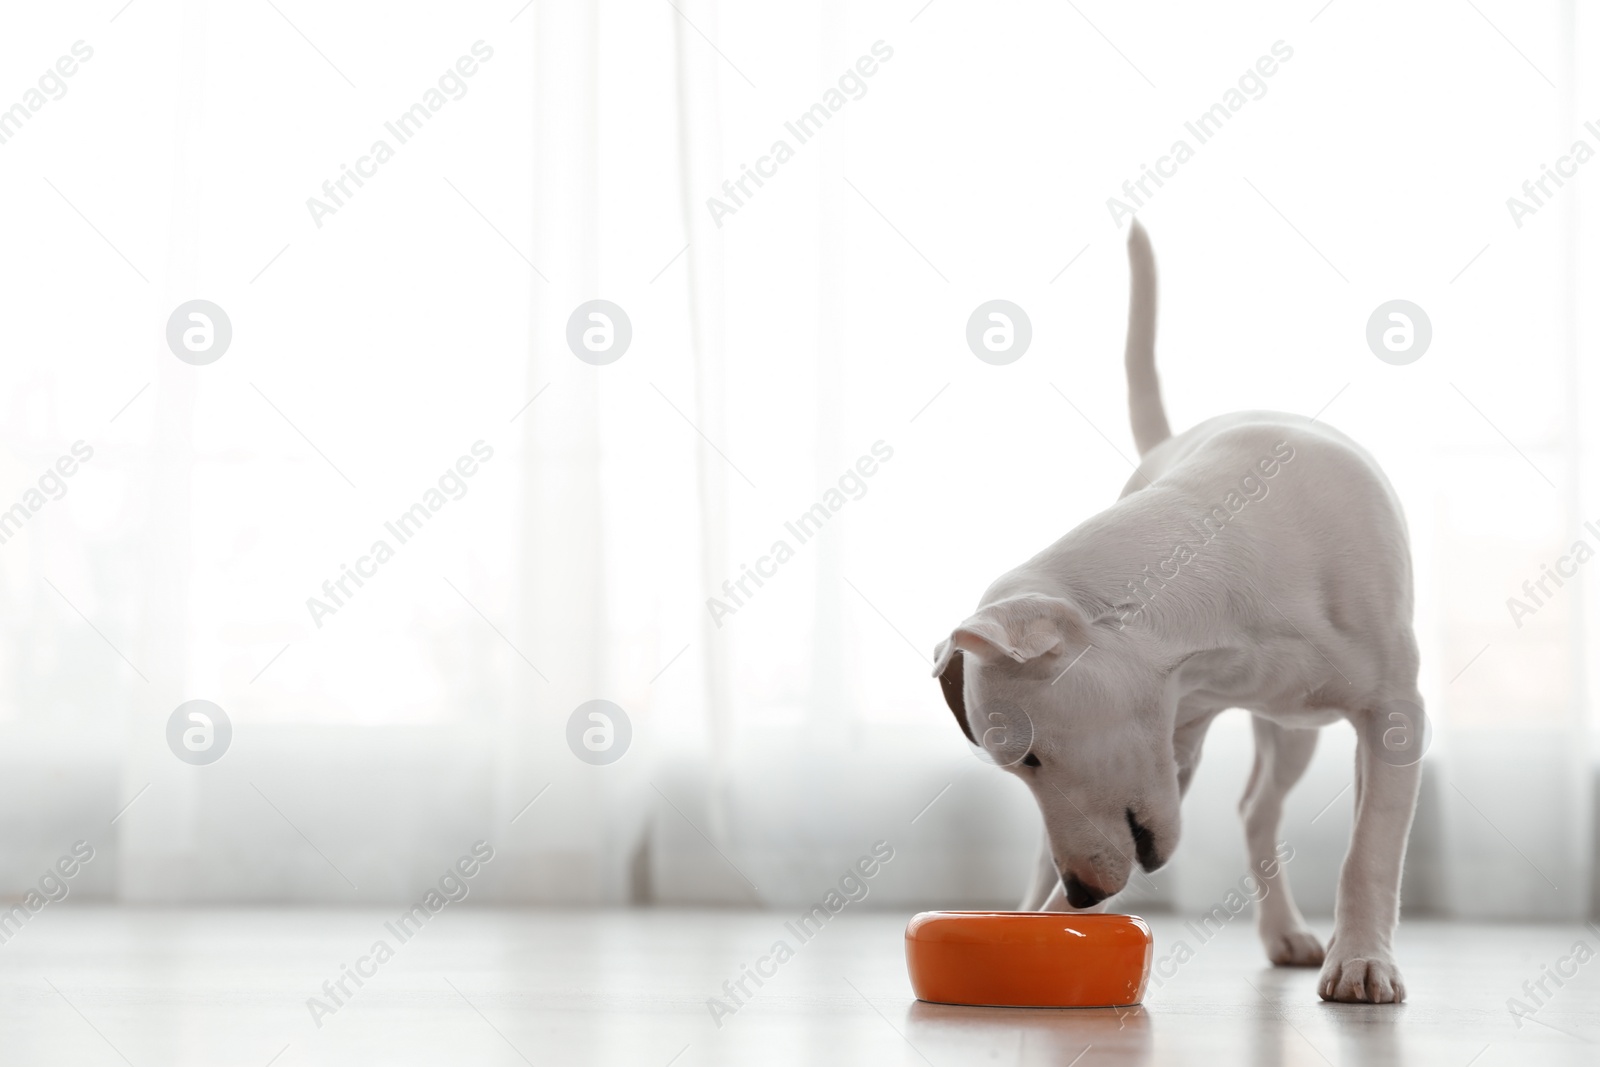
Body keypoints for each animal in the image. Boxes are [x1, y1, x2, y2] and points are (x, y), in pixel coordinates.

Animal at [934, 220, 1427, 1004]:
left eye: (1033, 756)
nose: (1080, 892)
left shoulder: (1395, 716)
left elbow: (1371, 848)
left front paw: (1361, 961)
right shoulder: (1176, 738)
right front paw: (1046, 926)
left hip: (1299, 730)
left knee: (1264, 809)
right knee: (1246, 812)